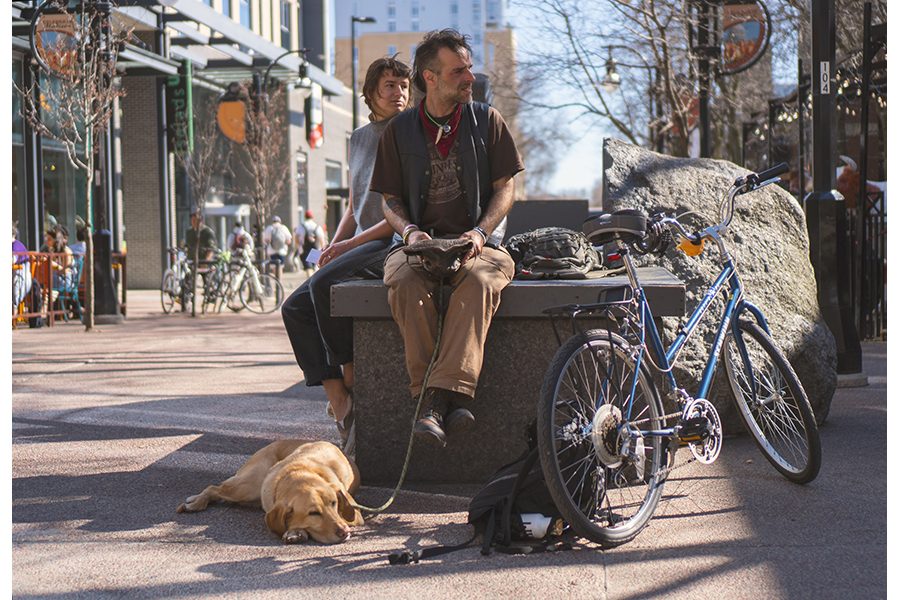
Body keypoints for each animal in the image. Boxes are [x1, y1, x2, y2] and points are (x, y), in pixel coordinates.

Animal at [178, 438, 364, 548]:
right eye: (313, 513)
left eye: (334, 503)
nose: (345, 532)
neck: (299, 471)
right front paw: (296, 531)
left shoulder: (354, 516)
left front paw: (296, 532)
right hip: (250, 485)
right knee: (214, 488)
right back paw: (196, 503)